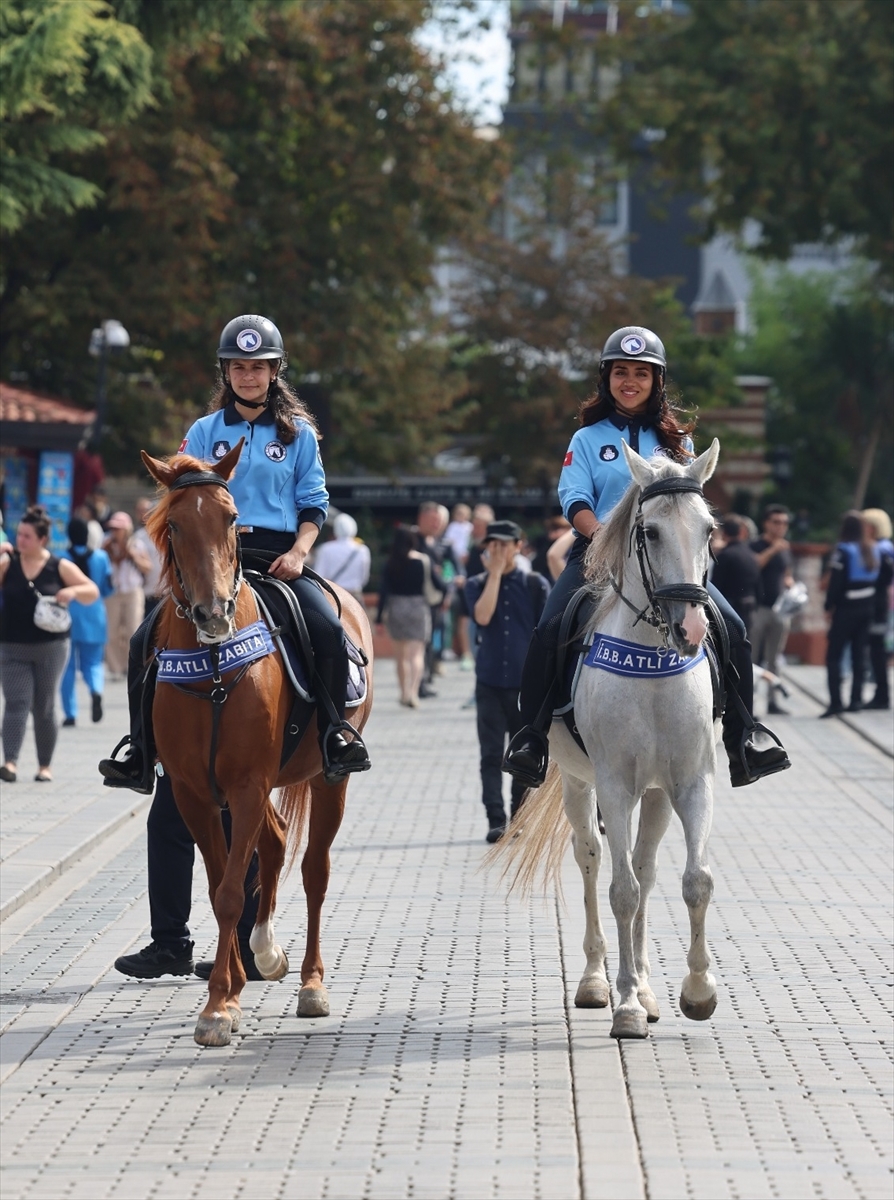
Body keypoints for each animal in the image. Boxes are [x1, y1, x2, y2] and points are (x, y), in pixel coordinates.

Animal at [142, 446, 372, 1046]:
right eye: (175, 525)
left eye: (230, 518)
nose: (213, 612)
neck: (215, 668)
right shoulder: (196, 792)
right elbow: (221, 883)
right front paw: (229, 994)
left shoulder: (246, 785)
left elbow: (228, 893)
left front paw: (217, 1007)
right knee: (275, 841)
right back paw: (265, 953)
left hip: (328, 778)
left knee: (314, 869)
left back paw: (311, 983)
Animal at [492, 441, 720, 1041]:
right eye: (651, 533)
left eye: (709, 529)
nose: (691, 628)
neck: (654, 663)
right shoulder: (615, 786)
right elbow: (621, 892)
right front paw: (626, 1006)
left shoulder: (691, 783)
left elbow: (694, 881)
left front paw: (696, 992)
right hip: (578, 783)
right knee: (594, 861)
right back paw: (598, 981)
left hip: (656, 794)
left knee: (645, 866)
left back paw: (647, 985)